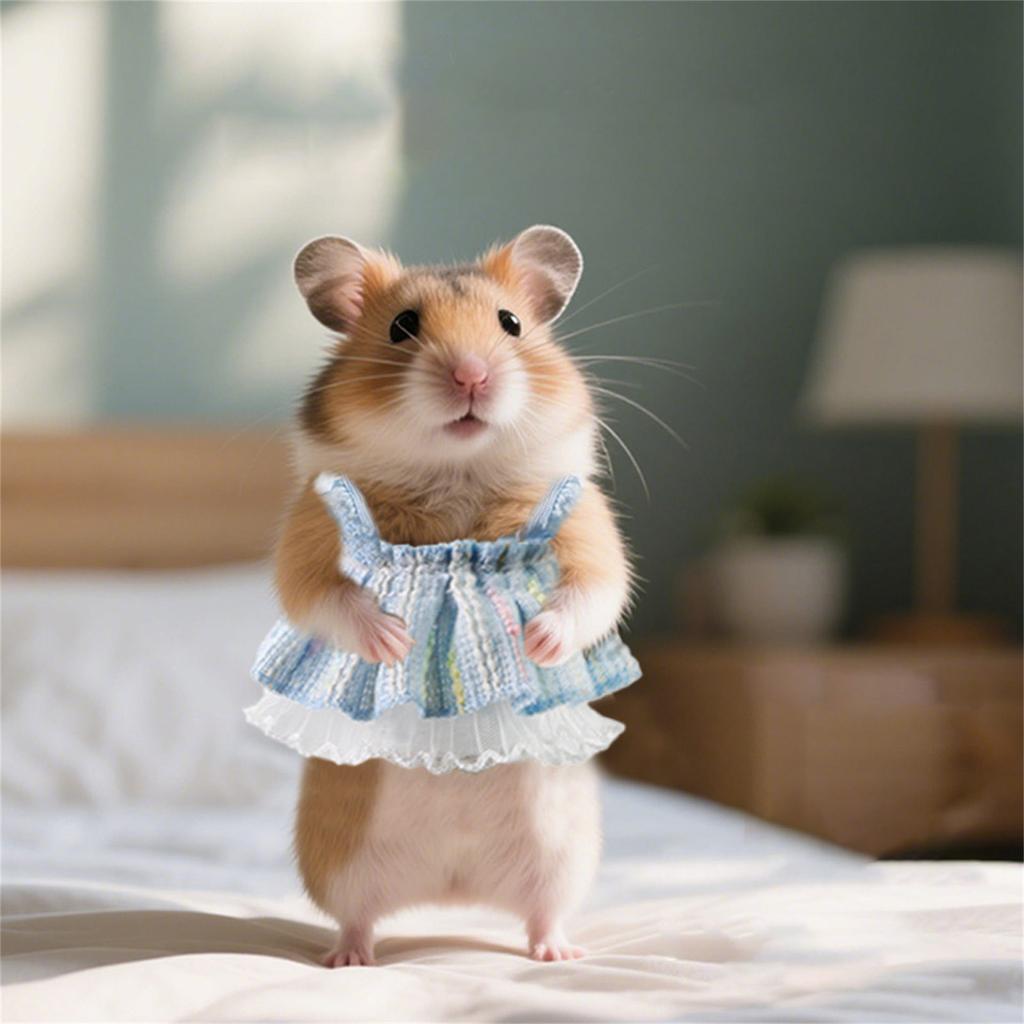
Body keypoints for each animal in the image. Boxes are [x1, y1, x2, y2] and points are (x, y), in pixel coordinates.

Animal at [276, 225, 632, 965]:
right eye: (402, 326)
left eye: (511, 323)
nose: (472, 375)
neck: (455, 475)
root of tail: (453, 888)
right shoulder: (311, 529)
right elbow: (321, 596)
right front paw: (394, 639)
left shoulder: (587, 524)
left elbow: (593, 590)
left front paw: (537, 640)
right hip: (337, 861)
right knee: (357, 917)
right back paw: (349, 960)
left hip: (562, 860)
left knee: (543, 914)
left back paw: (558, 955)